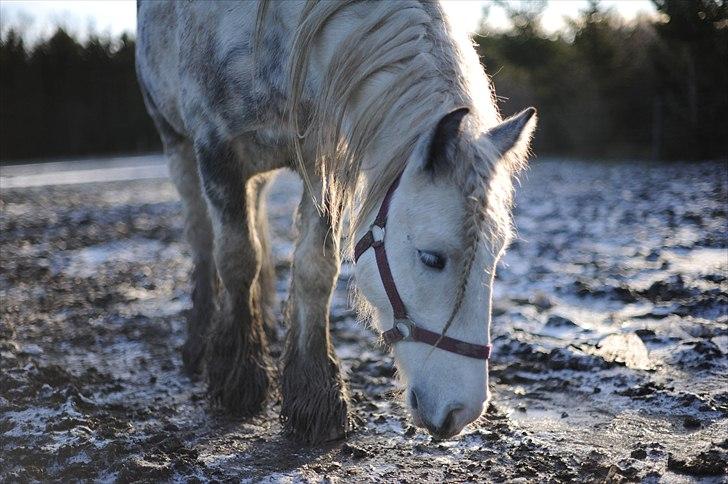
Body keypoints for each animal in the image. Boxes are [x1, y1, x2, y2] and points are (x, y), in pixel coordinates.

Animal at [135, 0, 536, 444]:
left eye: (496, 258)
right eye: (431, 258)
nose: (463, 410)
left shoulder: (319, 160)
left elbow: (316, 270)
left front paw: (316, 395)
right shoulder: (216, 150)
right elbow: (238, 259)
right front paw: (239, 378)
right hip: (176, 144)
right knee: (204, 239)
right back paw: (200, 338)